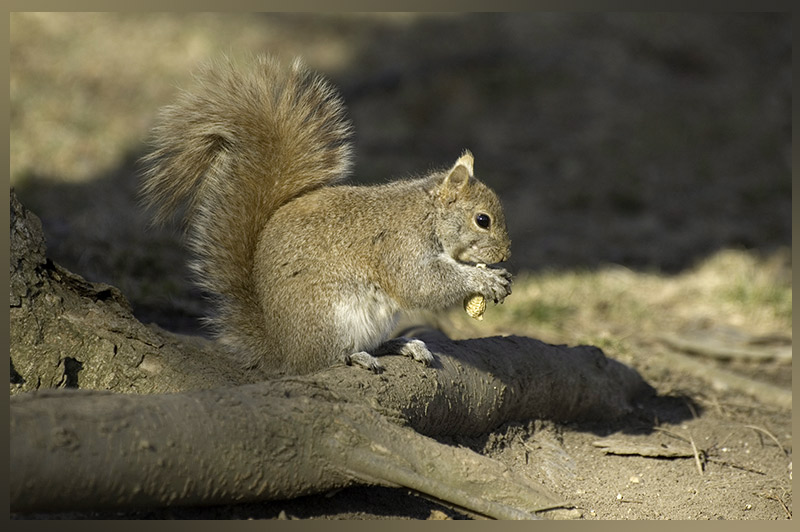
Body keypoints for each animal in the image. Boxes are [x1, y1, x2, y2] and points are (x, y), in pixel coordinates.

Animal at [140, 55, 512, 375]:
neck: (427, 216)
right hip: (329, 316)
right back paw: (355, 356)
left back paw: (402, 345)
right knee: (322, 361)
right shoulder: (400, 247)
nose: (506, 253)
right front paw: (486, 279)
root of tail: (282, 349)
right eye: (483, 220)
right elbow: (421, 285)